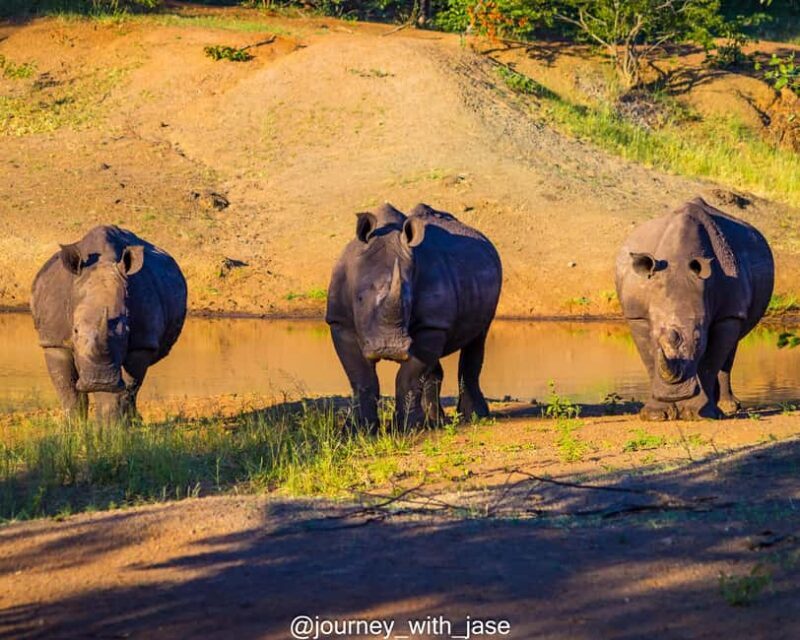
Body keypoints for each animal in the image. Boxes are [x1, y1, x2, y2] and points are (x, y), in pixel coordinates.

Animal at [31, 226, 187, 421]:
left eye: (126, 330)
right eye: (75, 331)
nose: (99, 380)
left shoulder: (141, 343)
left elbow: (126, 387)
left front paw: (111, 426)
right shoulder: (54, 341)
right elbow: (67, 389)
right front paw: (73, 426)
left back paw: (133, 422)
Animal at [326, 203, 502, 430]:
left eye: (408, 303)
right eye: (359, 299)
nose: (389, 348)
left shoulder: (432, 324)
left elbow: (409, 377)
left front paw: (409, 428)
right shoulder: (340, 322)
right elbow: (361, 377)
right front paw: (358, 428)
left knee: (477, 338)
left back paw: (474, 417)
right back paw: (436, 421)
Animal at [615, 197, 774, 420]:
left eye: (699, 340)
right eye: (655, 336)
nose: (674, 392)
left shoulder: (729, 314)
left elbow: (710, 362)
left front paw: (698, 413)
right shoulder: (636, 315)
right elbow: (649, 360)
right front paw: (655, 414)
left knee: (730, 348)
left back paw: (727, 407)